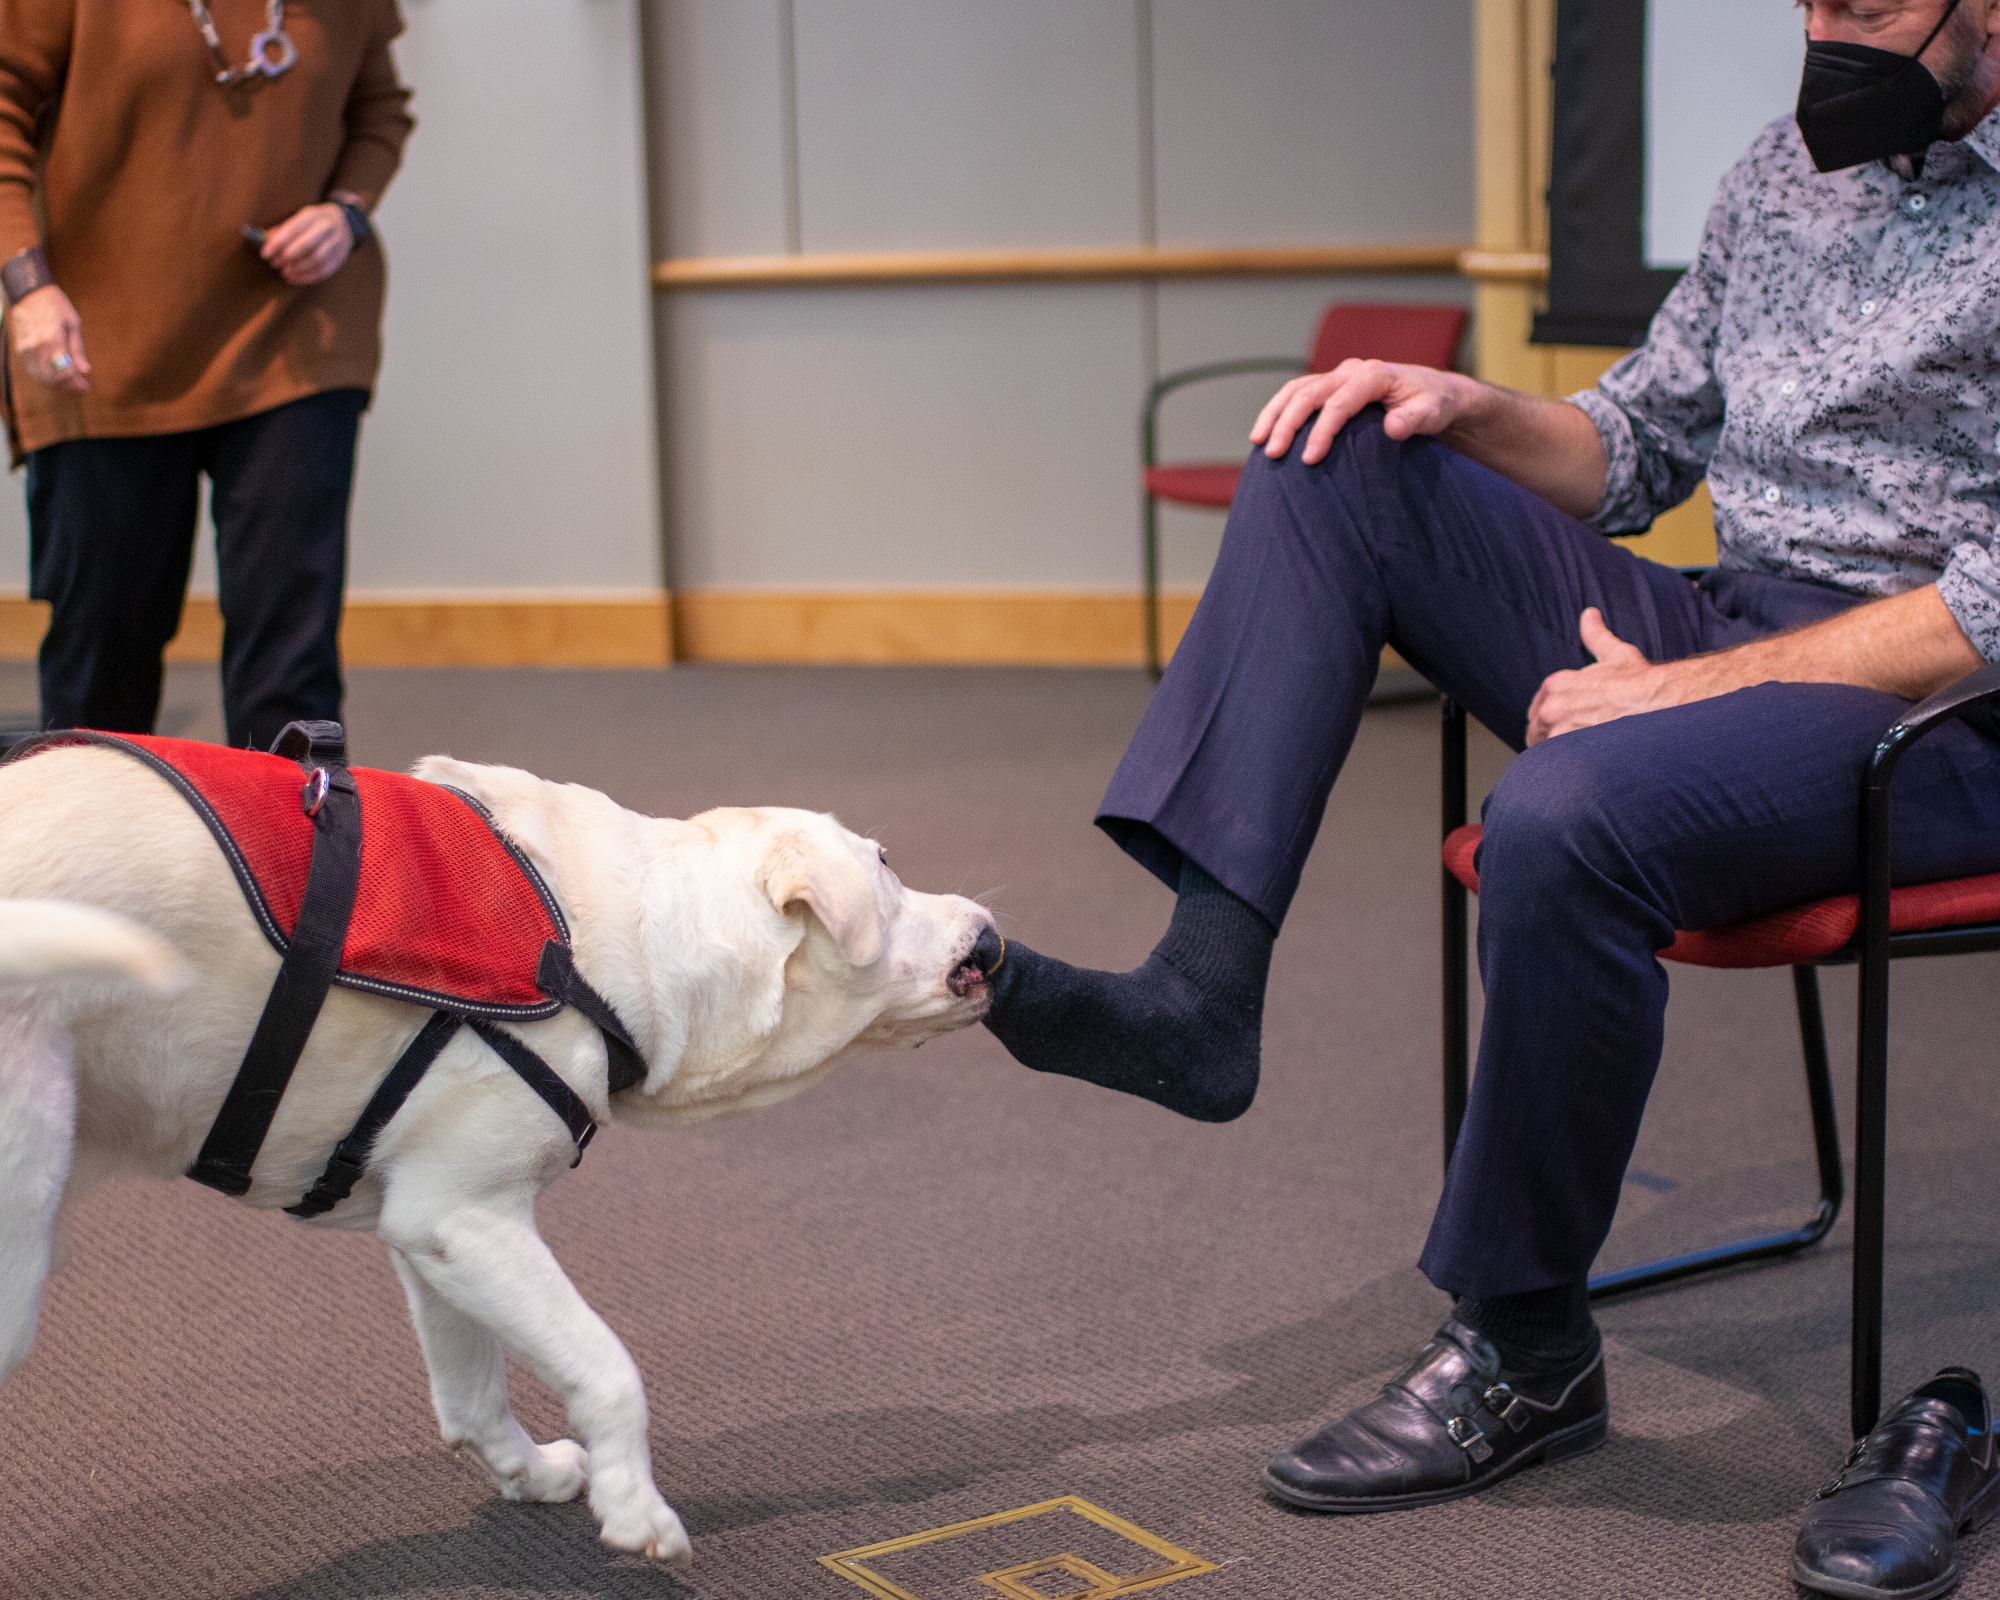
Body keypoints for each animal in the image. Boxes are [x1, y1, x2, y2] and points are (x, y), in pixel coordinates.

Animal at [0, 748, 996, 1560]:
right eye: (886, 866)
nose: (989, 928)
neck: (609, 942)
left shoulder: (428, 1227)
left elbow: (471, 1397)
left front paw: (530, 1472)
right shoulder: (472, 1217)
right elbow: (610, 1369)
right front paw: (635, 1509)